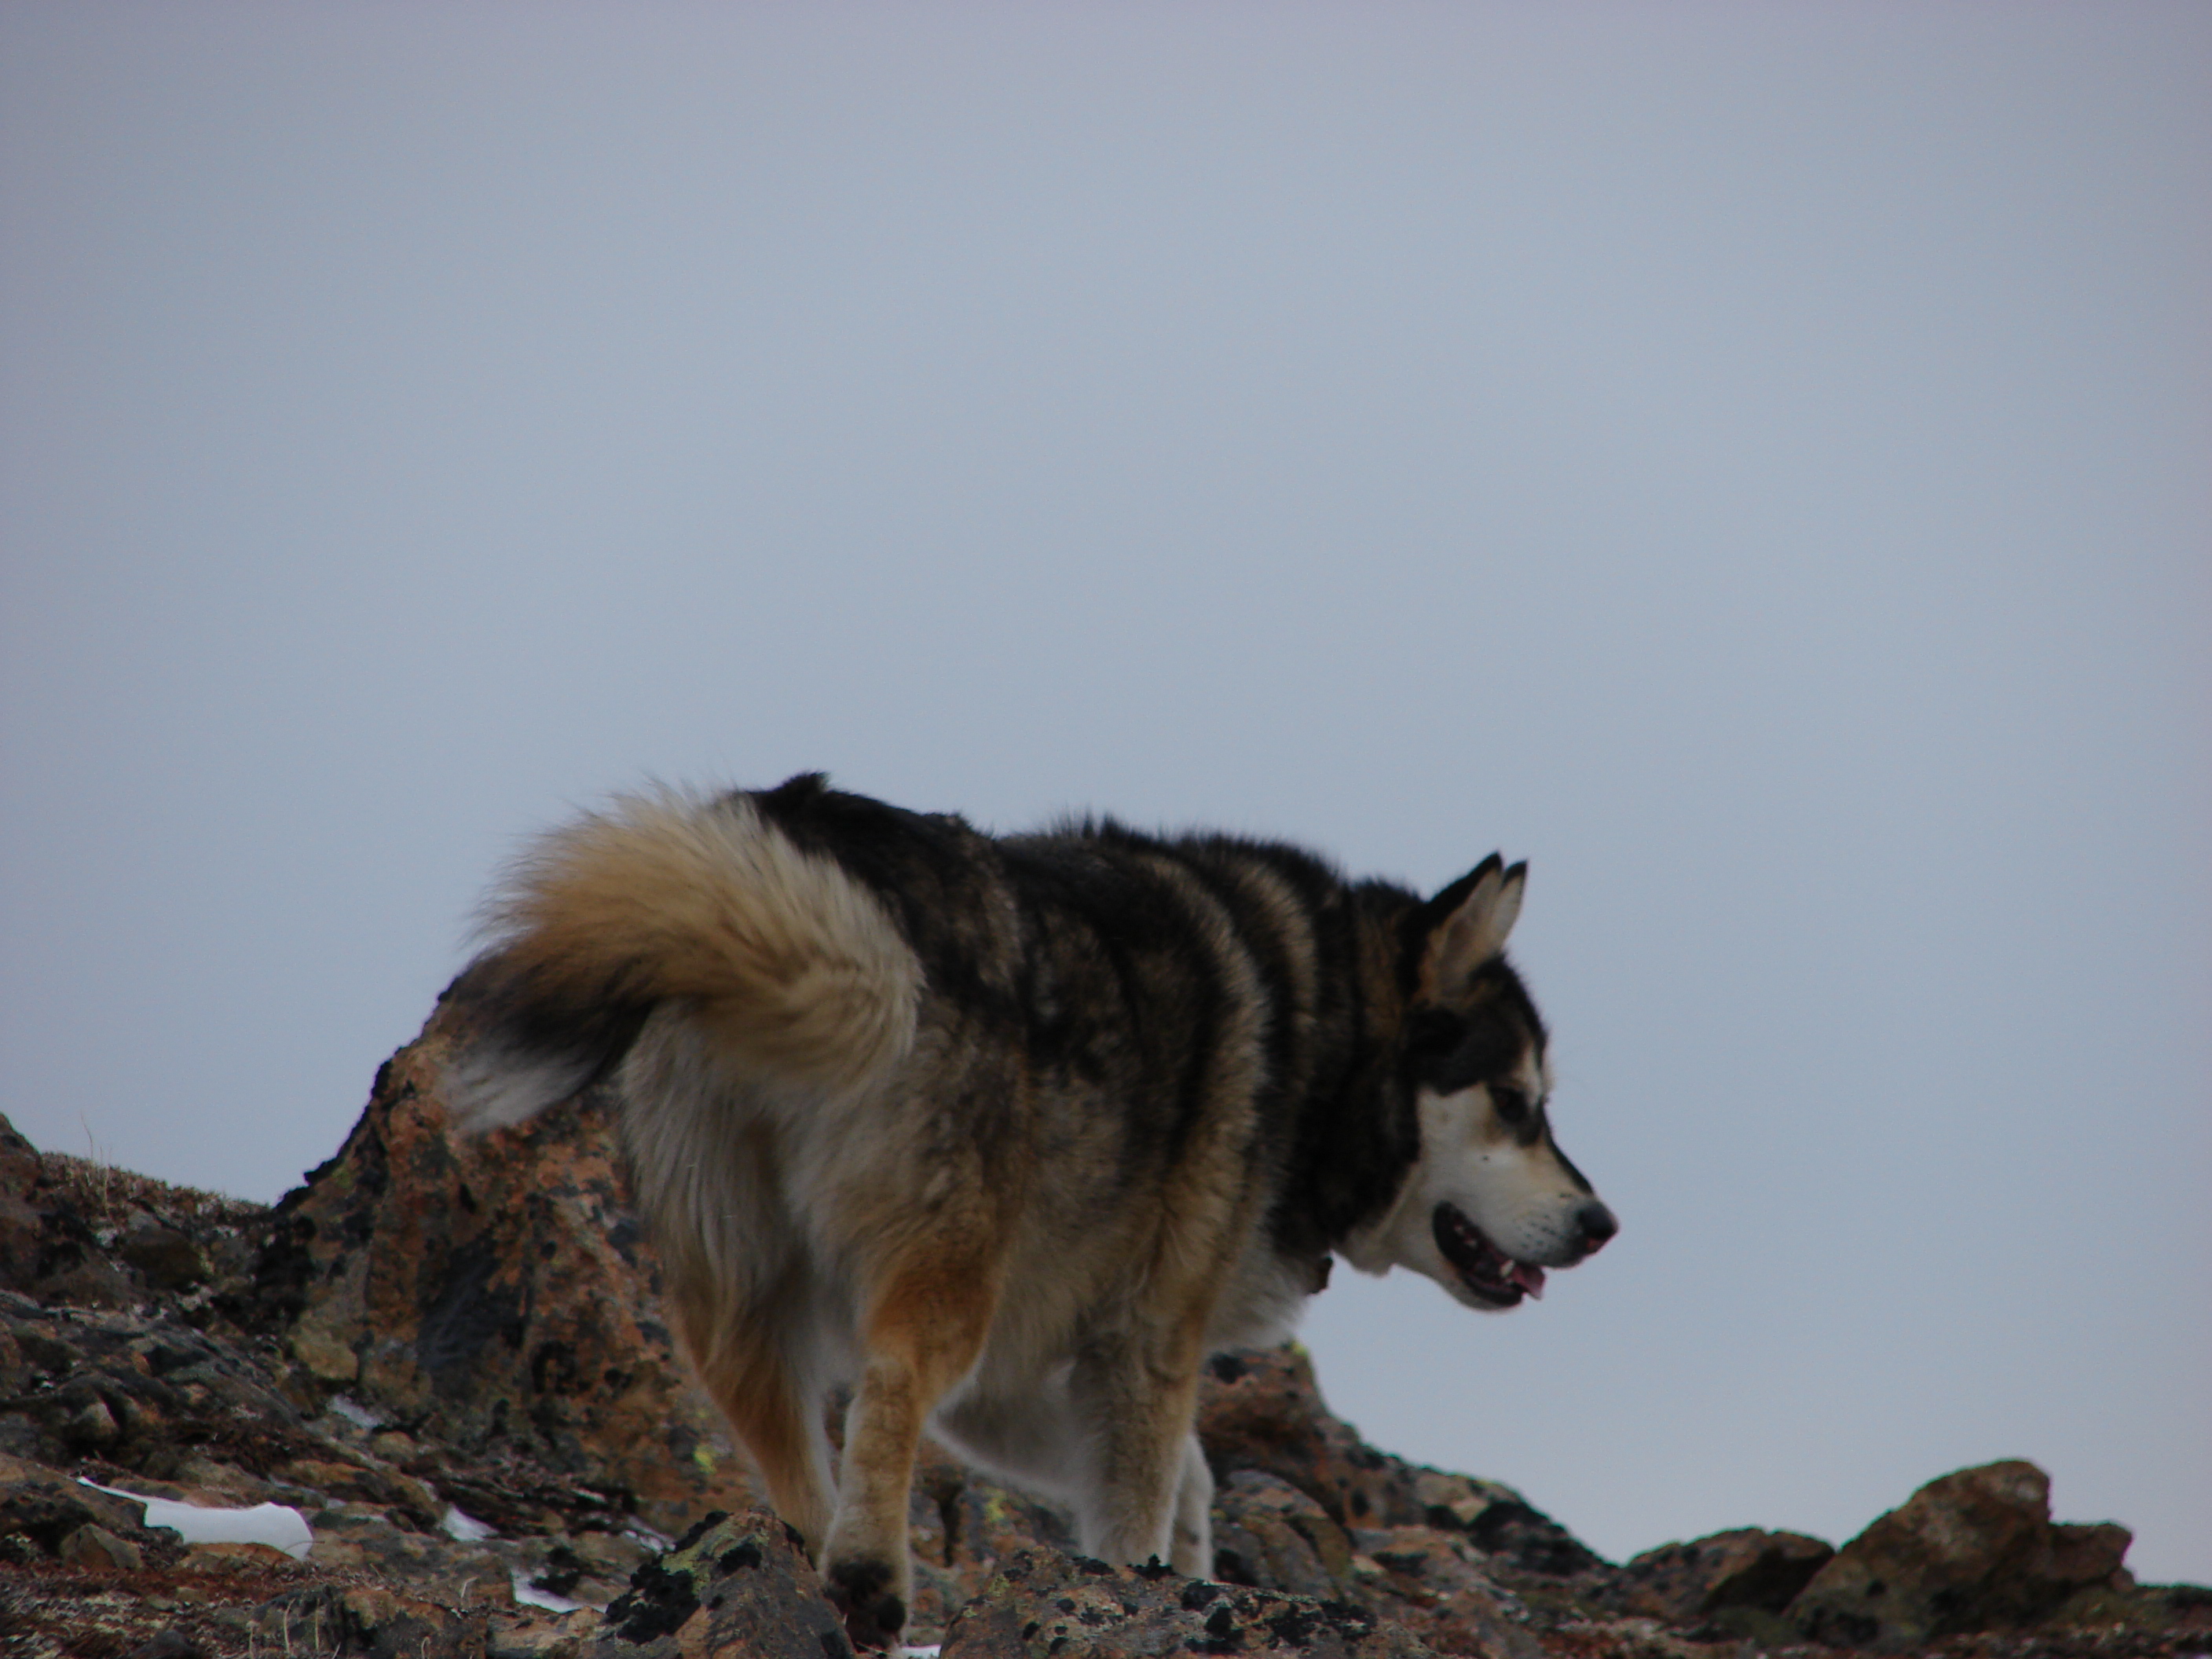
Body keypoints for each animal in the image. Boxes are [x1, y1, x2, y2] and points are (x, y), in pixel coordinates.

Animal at [437, 774, 1615, 1647]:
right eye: (1520, 1102)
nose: (1602, 1226)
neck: (1324, 1033)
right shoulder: (1147, 1338)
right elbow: (1142, 1494)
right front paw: (1144, 1586)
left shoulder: (1022, 1381)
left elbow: (1184, 1476)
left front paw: (1187, 1563)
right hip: (948, 1269)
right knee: (888, 1388)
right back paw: (869, 1577)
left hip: (745, 1278)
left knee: (771, 1415)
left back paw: (810, 1566)